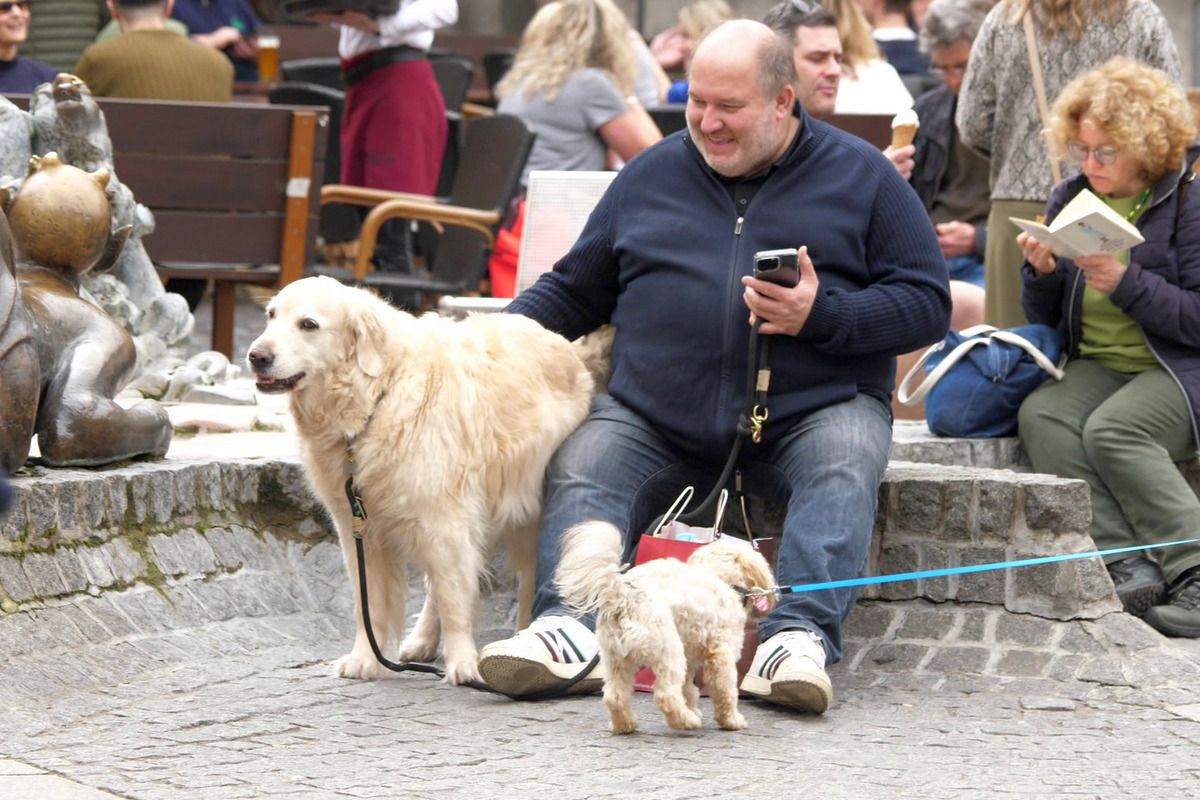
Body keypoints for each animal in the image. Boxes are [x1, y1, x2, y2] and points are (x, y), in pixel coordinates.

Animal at [248, 278, 600, 686]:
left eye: (308, 325)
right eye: (271, 316)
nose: (256, 356)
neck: (376, 397)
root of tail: (568, 347)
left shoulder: (444, 519)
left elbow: (454, 600)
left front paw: (463, 664)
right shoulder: (359, 528)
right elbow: (371, 604)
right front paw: (365, 659)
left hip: (526, 513)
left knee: (521, 580)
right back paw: (422, 642)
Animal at [554, 522, 772, 734]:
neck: (718, 577)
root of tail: (621, 595)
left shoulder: (691, 656)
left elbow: (688, 689)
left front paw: (694, 707)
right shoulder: (721, 654)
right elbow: (725, 691)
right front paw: (731, 720)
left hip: (615, 658)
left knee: (614, 696)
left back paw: (625, 725)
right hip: (668, 651)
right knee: (665, 695)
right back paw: (686, 721)